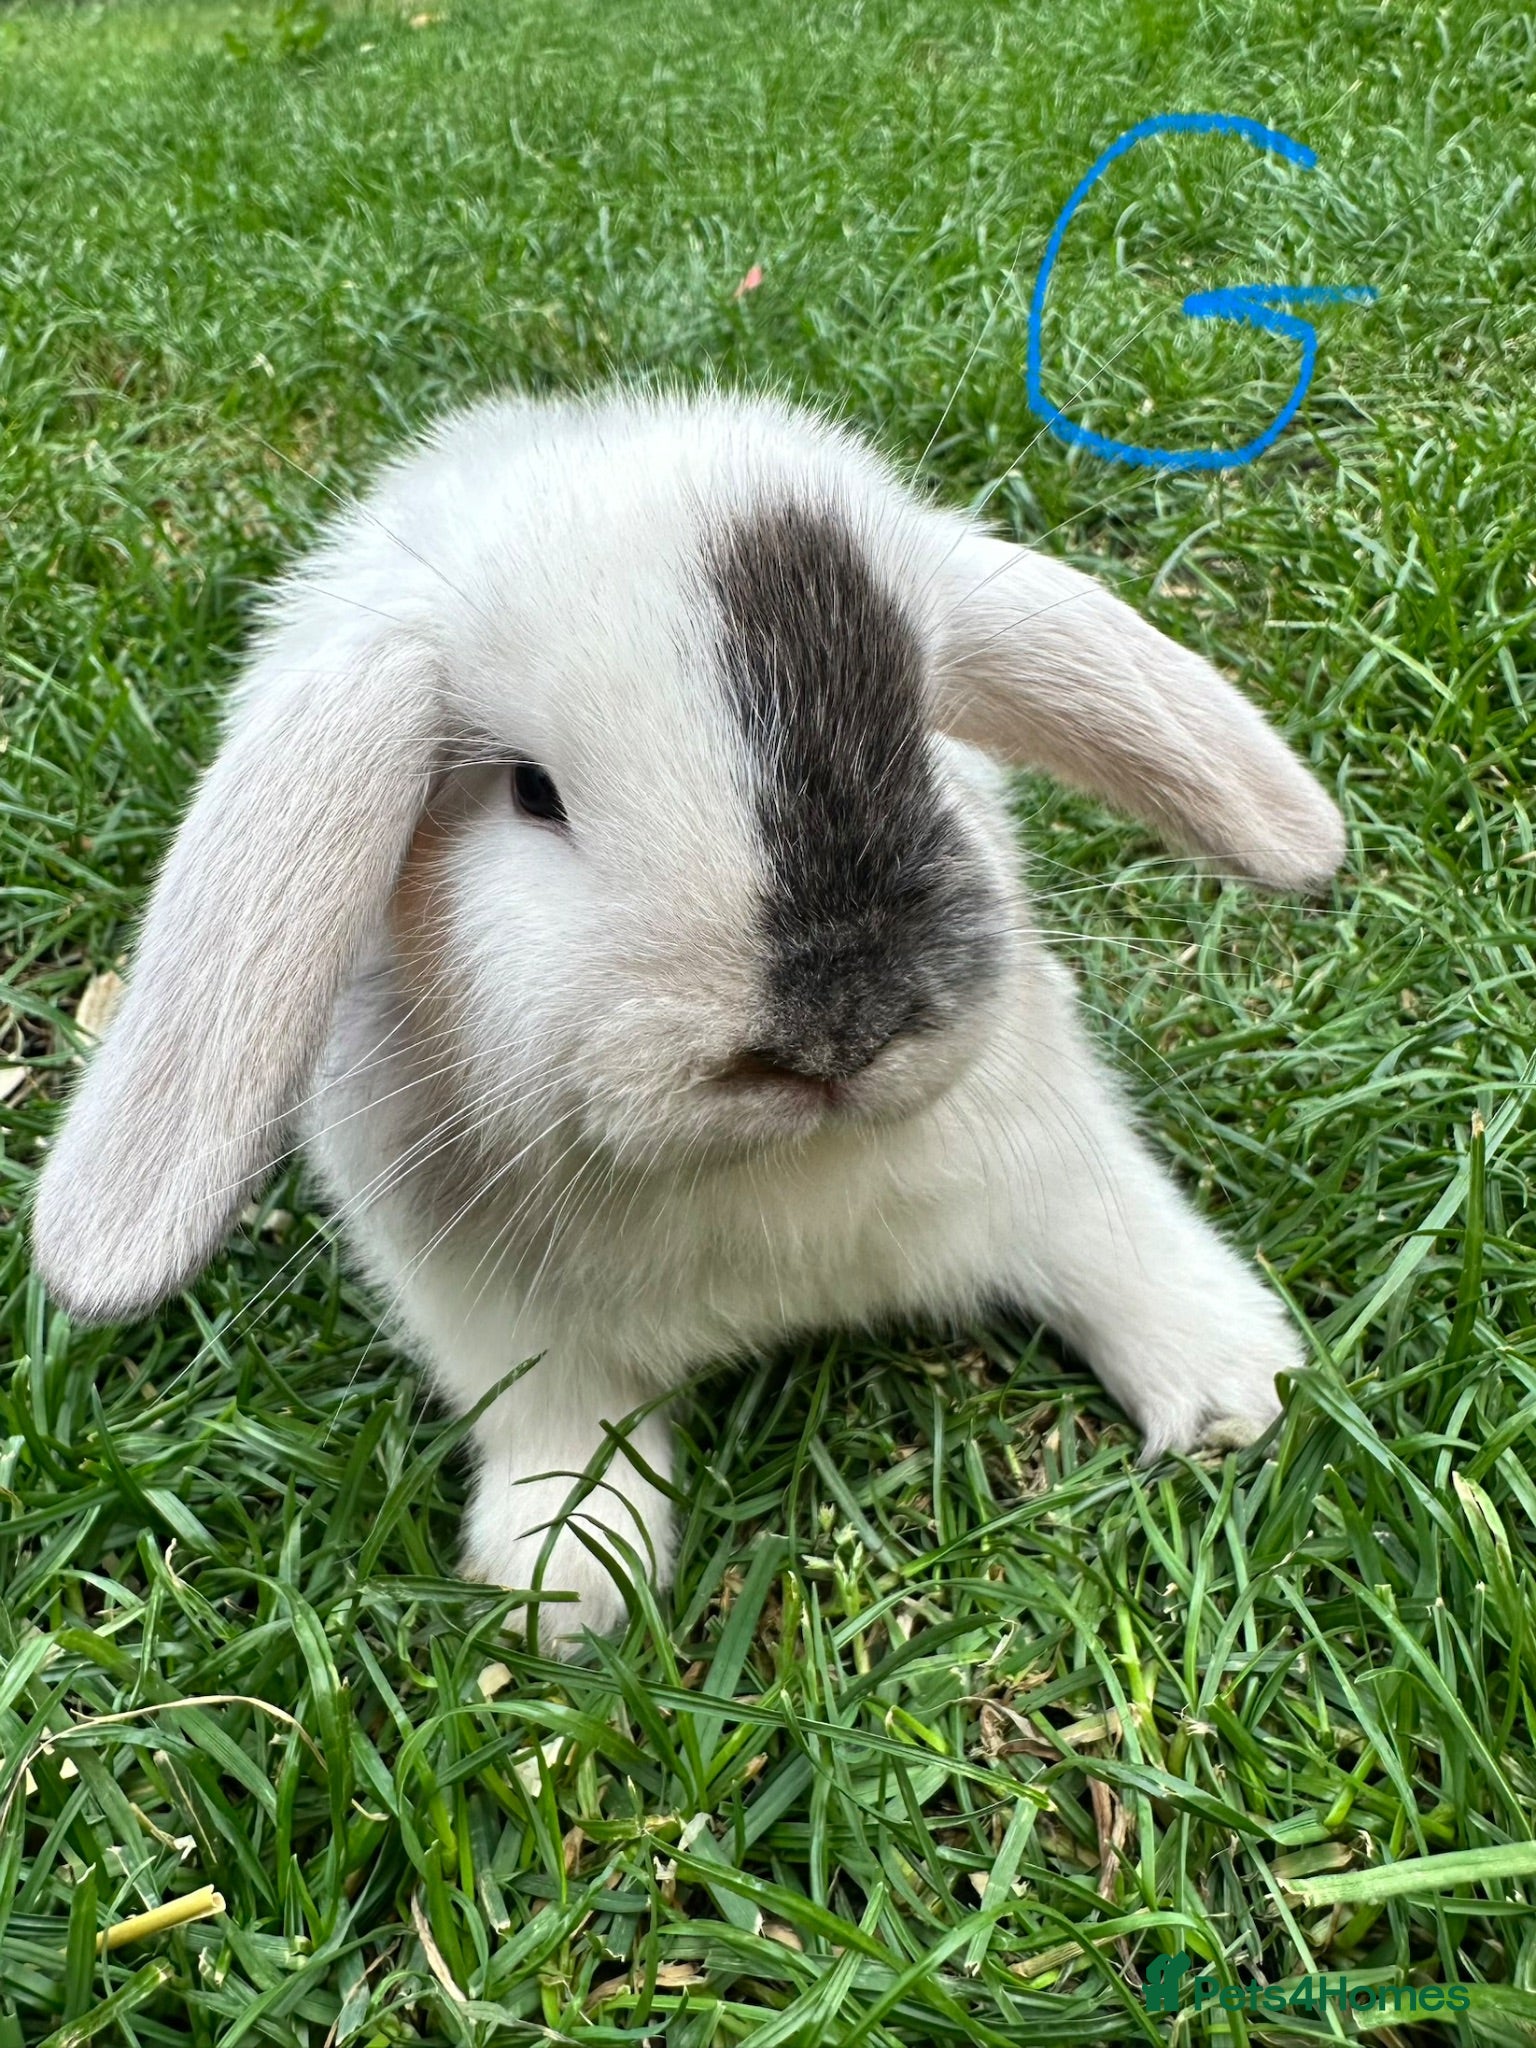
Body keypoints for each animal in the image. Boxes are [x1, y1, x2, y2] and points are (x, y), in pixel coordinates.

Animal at [31, 389, 1345, 1646]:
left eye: (921, 737)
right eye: (531, 793)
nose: (837, 1035)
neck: (778, 1171)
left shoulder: (1059, 1154)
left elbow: (1119, 1250)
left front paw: (1241, 1390)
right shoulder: (487, 1316)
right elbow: (557, 1425)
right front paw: (566, 1590)